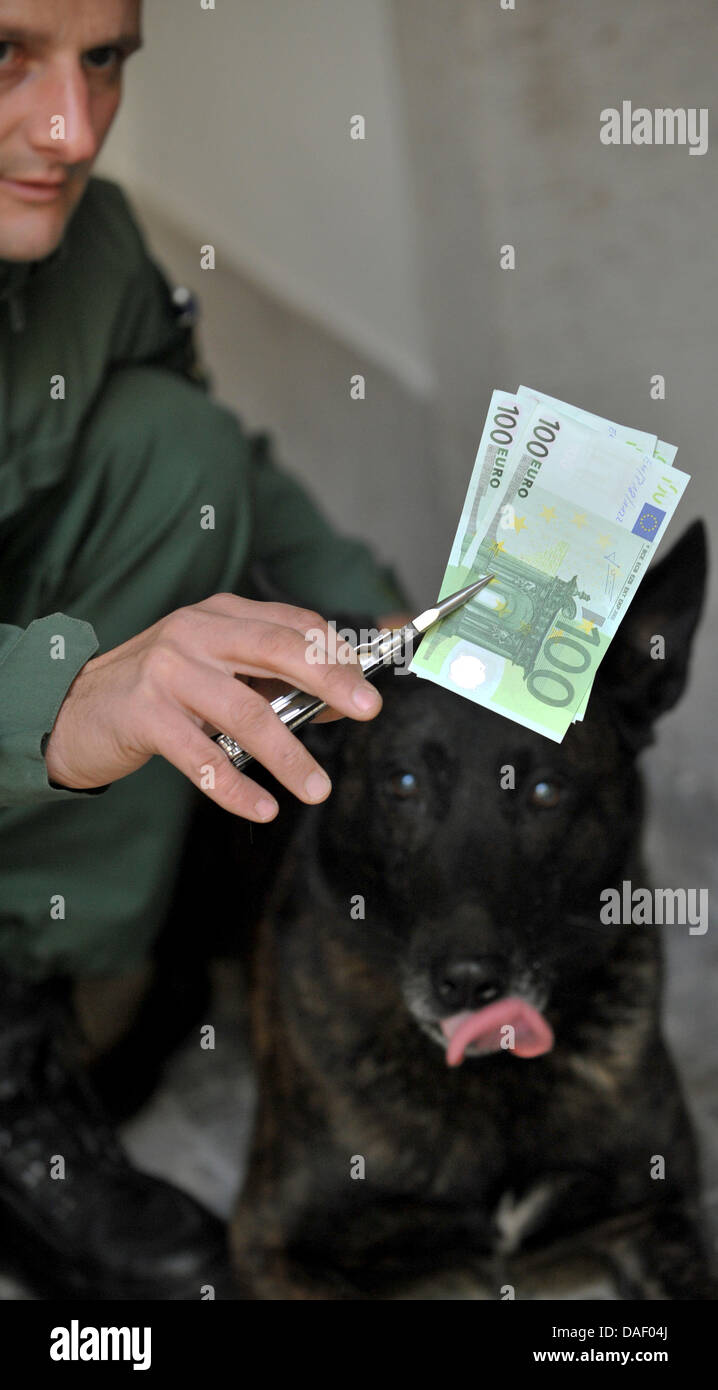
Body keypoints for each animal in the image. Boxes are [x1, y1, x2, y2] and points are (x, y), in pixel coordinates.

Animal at [229, 517, 711, 1295]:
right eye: (403, 783)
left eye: (546, 791)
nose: (469, 984)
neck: (491, 1081)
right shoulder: (272, 1246)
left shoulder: (657, 1212)